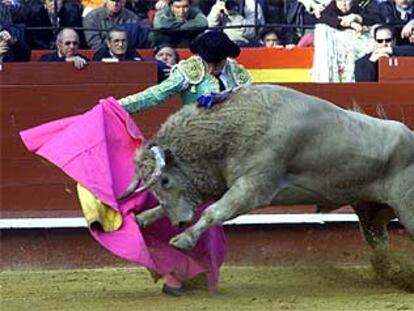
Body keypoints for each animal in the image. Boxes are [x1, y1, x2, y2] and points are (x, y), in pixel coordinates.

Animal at [121, 84, 412, 270]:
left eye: (165, 180)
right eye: (154, 188)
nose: (179, 222)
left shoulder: (253, 187)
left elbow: (214, 212)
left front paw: (183, 239)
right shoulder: (220, 184)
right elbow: (178, 207)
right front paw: (141, 219)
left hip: (406, 208)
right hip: (371, 210)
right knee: (378, 238)